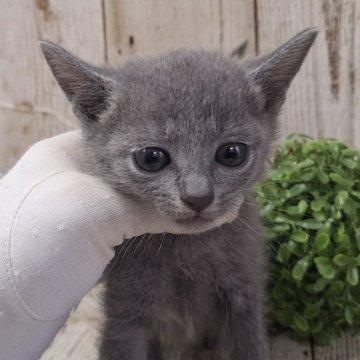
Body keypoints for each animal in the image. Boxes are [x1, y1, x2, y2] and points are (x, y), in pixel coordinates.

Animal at [40, 28, 316, 360]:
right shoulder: (125, 312)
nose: (198, 196)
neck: (189, 250)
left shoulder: (246, 295)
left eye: (232, 153)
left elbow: (249, 345)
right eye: (151, 158)